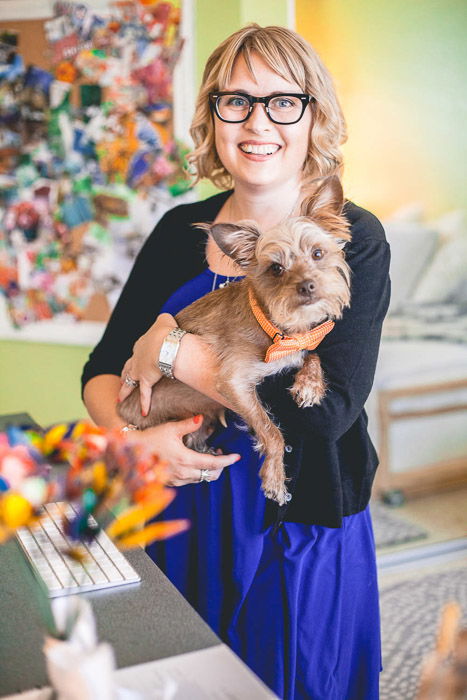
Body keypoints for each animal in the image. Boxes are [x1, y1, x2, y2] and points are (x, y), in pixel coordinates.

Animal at [119, 175, 352, 504]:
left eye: (317, 253)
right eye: (276, 269)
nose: (307, 285)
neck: (276, 328)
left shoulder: (297, 347)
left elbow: (312, 353)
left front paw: (309, 384)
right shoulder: (234, 382)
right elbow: (271, 431)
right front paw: (275, 478)